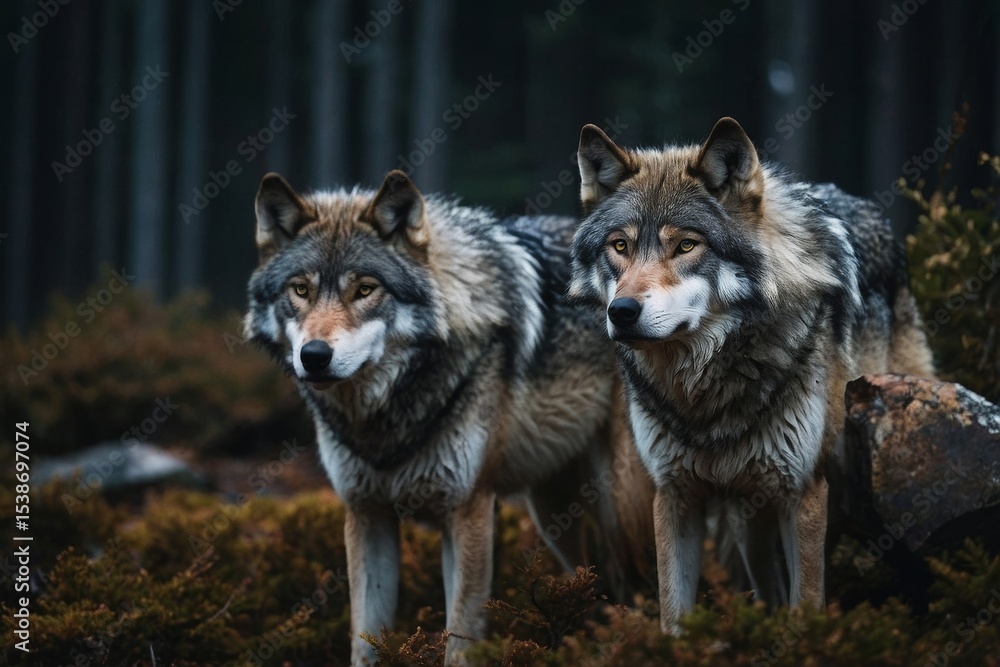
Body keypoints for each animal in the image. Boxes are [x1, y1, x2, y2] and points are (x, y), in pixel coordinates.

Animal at [244, 170, 651, 664]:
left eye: (365, 290)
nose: (315, 356)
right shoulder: (367, 516)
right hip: (555, 512)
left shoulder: (468, 511)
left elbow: (459, 640)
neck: (388, 415)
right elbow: (364, 640)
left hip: (624, 507)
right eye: (300, 290)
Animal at [568, 117, 934, 632]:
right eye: (619, 246)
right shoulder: (675, 496)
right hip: (748, 516)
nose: (621, 312)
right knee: (768, 587)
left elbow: (807, 606)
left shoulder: (804, 492)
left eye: (686, 245)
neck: (705, 388)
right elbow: (673, 615)